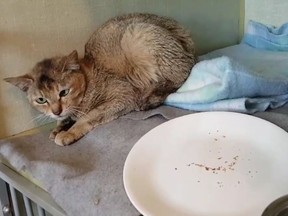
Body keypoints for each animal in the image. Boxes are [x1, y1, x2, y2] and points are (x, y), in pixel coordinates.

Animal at [4, 13, 197, 145]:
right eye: (41, 100)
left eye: (63, 92)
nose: (56, 111)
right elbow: (66, 119)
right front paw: (59, 127)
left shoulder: (123, 97)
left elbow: (89, 116)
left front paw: (68, 132)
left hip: (136, 35)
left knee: (179, 78)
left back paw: (149, 98)